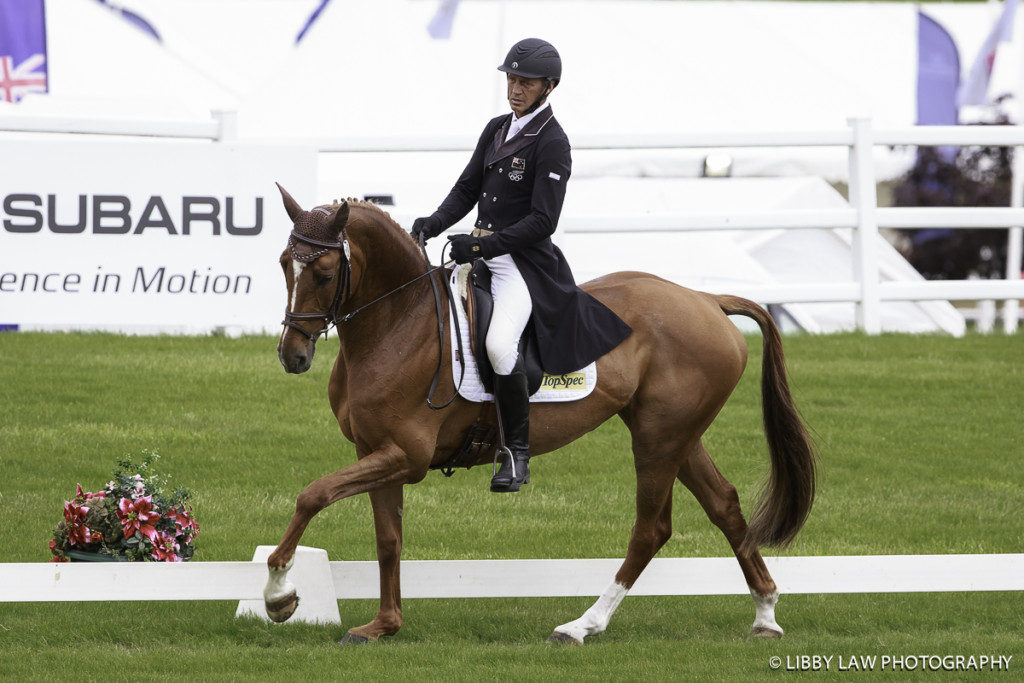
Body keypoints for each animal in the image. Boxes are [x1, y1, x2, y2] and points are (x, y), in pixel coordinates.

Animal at [262, 184, 815, 643]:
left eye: (325, 273)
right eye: (285, 263)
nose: (293, 356)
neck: (398, 323)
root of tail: (706, 299)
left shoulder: (406, 455)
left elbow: (313, 495)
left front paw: (279, 593)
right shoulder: (375, 450)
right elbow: (387, 538)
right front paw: (383, 626)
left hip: (658, 439)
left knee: (650, 529)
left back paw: (582, 626)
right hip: (676, 434)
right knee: (724, 505)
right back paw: (766, 615)